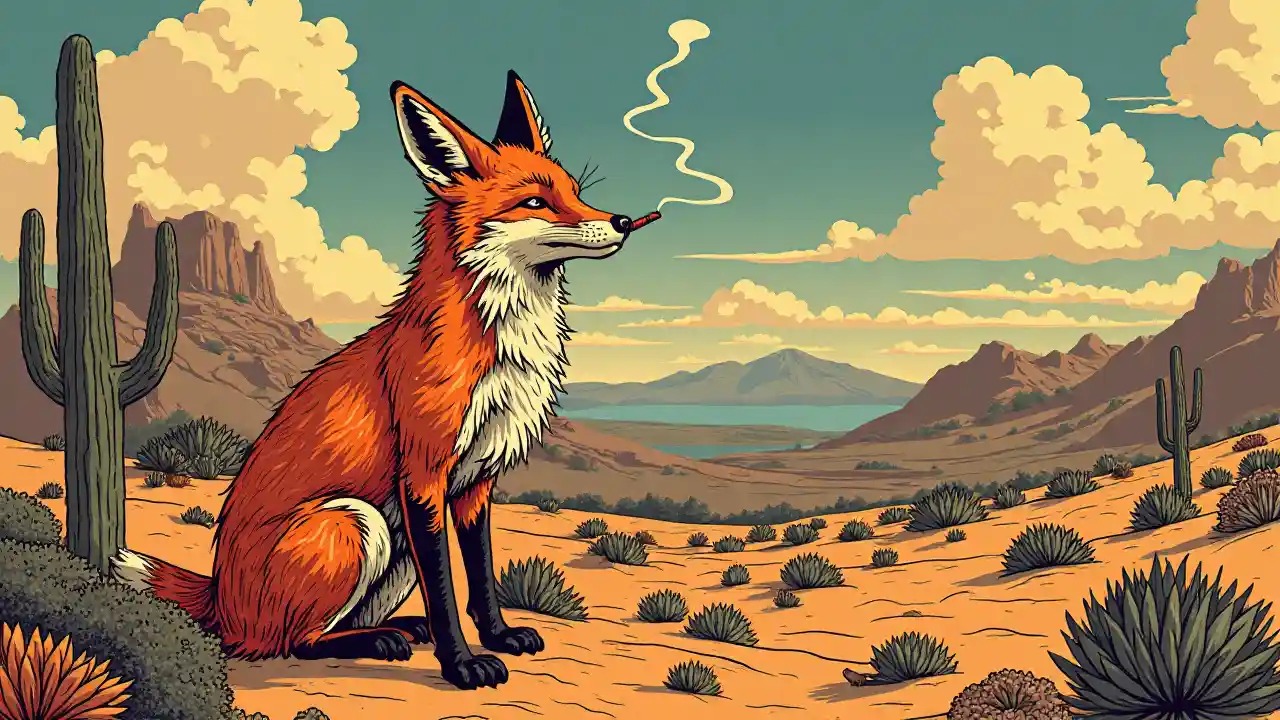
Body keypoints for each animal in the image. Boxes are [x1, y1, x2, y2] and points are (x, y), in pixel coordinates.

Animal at [109, 70, 657, 690]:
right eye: (535, 202)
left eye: (576, 190)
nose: (620, 222)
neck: (503, 346)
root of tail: (220, 598)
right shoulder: (422, 472)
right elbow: (447, 592)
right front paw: (462, 664)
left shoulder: (475, 482)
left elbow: (481, 577)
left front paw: (498, 637)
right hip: (356, 522)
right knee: (293, 643)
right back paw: (380, 640)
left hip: (392, 554)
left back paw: (395, 629)